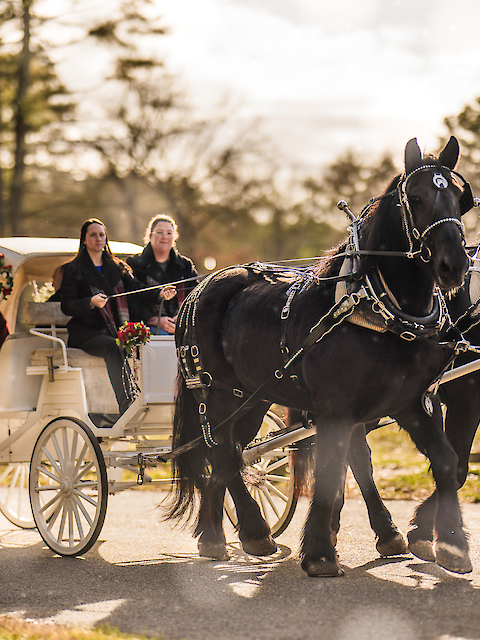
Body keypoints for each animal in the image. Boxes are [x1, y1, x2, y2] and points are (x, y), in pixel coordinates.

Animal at [168, 138, 468, 576]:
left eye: (462, 199)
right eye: (415, 197)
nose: (455, 264)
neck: (378, 308)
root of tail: (199, 287)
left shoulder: (413, 400)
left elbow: (445, 462)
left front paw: (451, 544)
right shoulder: (336, 408)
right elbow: (330, 471)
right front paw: (321, 554)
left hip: (253, 398)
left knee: (229, 454)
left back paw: (219, 535)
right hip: (219, 393)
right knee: (224, 451)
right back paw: (250, 532)